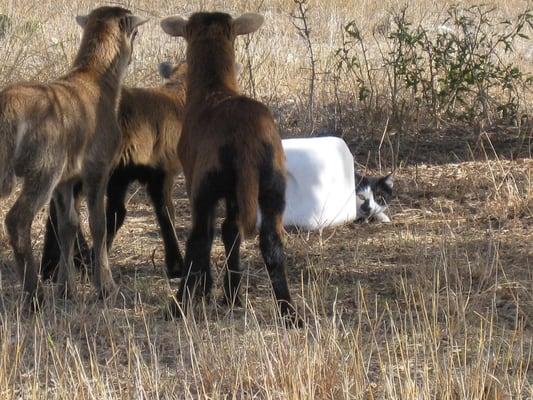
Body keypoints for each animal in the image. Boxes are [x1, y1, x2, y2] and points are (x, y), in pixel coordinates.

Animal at [0, 6, 147, 304]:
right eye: (135, 33)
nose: (131, 58)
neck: (96, 78)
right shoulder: (98, 167)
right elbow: (98, 224)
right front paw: (106, 287)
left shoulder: (66, 179)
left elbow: (67, 225)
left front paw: (66, 289)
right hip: (44, 168)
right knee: (17, 220)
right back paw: (34, 296)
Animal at [39, 63, 187, 282]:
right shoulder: (162, 173)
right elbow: (166, 212)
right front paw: (177, 265)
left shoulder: (122, 177)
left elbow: (117, 212)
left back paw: (54, 266)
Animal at [160, 12, 302, 326]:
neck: (213, 89)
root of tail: (245, 138)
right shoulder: (238, 195)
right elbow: (232, 231)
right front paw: (232, 296)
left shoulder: (195, 178)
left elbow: (216, 233)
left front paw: (209, 291)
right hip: (273, 184)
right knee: (271, 243)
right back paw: (289, 312)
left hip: (205, 185)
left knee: (199, 237)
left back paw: (178, 305)